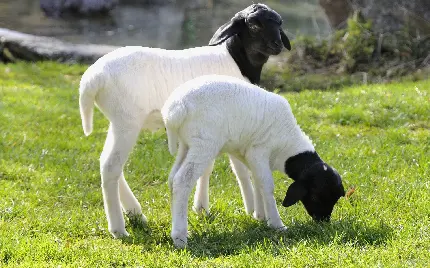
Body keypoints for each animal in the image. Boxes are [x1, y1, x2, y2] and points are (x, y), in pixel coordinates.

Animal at [78, 3, 290, 239]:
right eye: (254, 24)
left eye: (279, 22)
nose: (278, 45)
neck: (234, 59)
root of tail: (92, 79)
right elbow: (240, 170)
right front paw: (253, 210)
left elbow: (208, 166)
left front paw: (202, 207)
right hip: (127, 121)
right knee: (111, 165)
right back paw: (118, 228)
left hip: (118, 121)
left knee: (108, 163)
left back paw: (135, 213)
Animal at [161, 74, 346, 248]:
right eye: (315, 196)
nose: (323, 221)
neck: (287, 144)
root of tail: (175, 110)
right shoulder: (258, 151)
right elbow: (267, 186)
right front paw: (276, 224)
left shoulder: (249, 155)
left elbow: (257, 182)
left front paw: (261, 215)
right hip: (204, 143)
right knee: (182, 180)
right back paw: (180, 237)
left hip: (186, 144)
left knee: (172, 178)